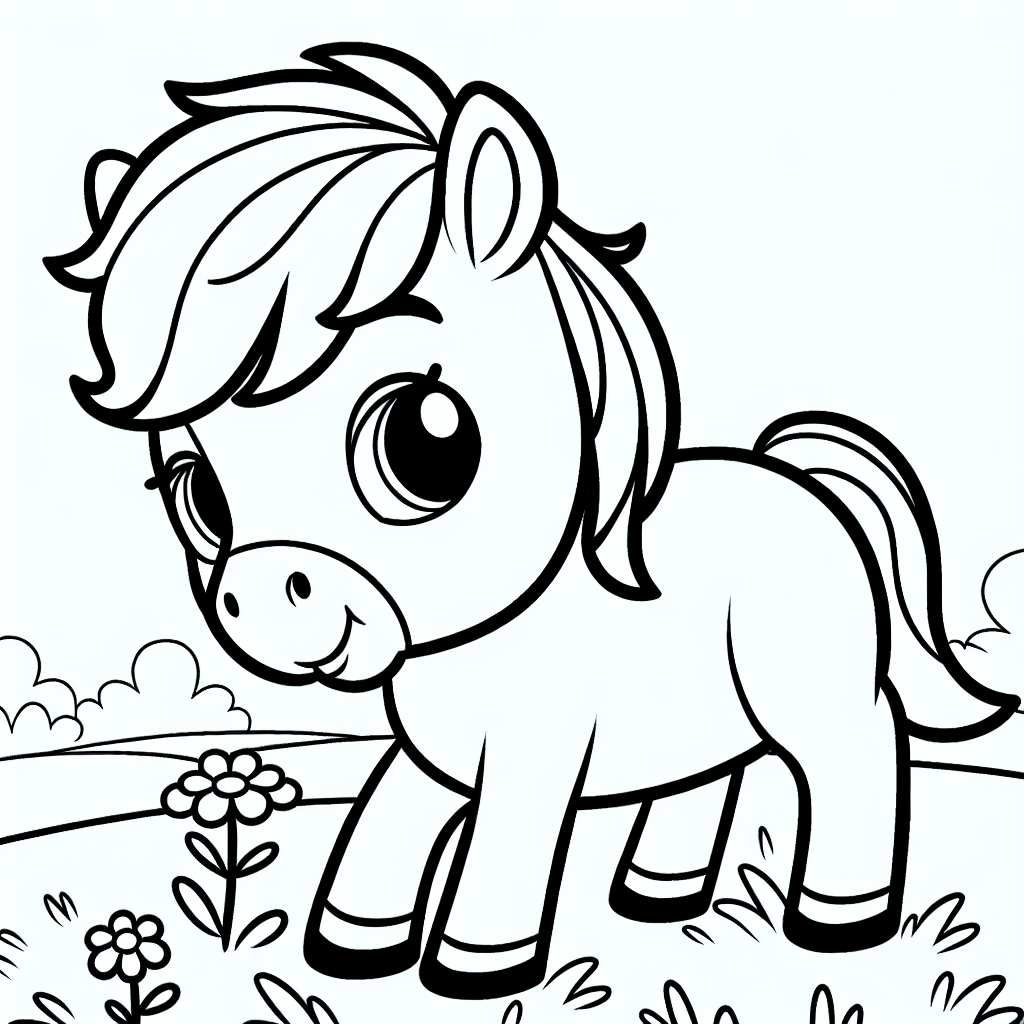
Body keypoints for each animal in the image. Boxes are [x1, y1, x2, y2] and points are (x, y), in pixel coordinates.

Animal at [45, 44, 1020, 1001]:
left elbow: (499, 855)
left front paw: (476, 970)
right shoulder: (431, 761)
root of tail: (800, 478)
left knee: (863, 754)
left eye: (427, 438)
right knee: (712, 771)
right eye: (199, 495)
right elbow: (384, 826)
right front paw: (352, 949)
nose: (262, 597)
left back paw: (838, 919)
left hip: (815, 693)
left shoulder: (532, 761)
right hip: (706, 710)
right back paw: (658, 896)